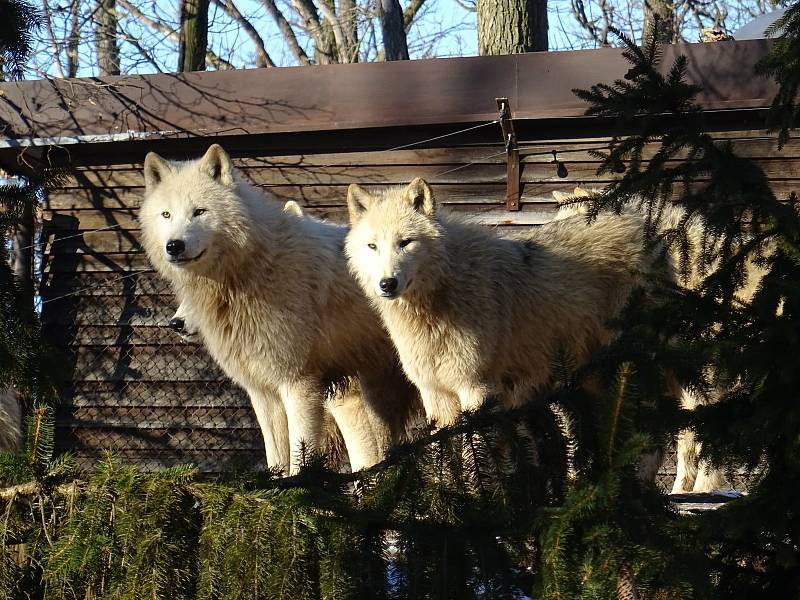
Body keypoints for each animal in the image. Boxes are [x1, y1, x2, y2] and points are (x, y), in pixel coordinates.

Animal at [346, 176, 664, 438]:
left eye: (406, 242)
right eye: (372, 246)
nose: (387, 284)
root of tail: (635, 219)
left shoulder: (477, 389)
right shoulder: (435, 396)